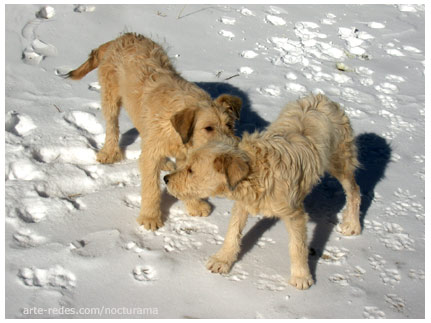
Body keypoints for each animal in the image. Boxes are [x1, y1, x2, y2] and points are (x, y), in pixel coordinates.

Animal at [68, 33, 243, 230]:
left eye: (229, 125)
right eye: (208, 128)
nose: (233, 149)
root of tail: (122, 37)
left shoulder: (183, 155)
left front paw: (194, 205)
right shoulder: (152, 155)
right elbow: (151, 186)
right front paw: (150, 217)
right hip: (110, 95)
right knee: (112, 125)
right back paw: (109, 152)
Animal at [167, 95, 362, 290]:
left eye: (191, 170)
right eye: (186, 164)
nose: (166, 179)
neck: (258, 171)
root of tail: (321, 97)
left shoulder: (295, 214)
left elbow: (297, 247)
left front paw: (301, 276)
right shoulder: (243, 203)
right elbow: (232, 233)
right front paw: (223, 259)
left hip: (340, 161)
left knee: (354, 191)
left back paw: (353, 224)